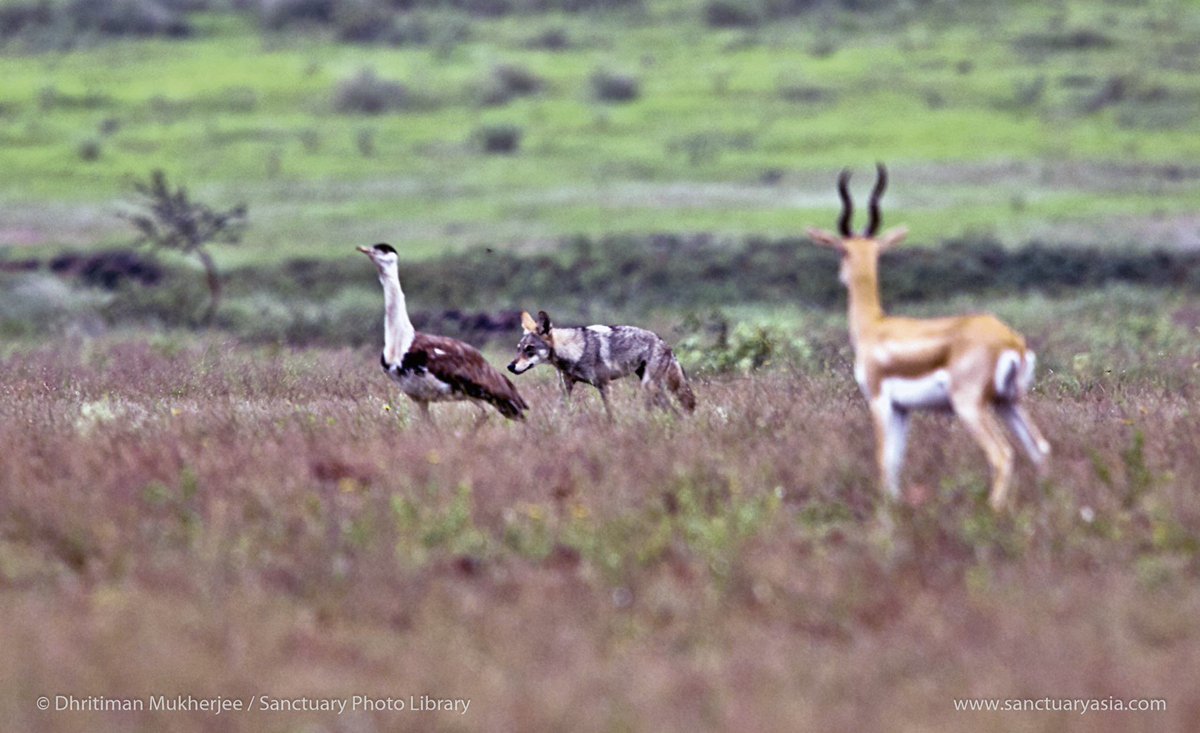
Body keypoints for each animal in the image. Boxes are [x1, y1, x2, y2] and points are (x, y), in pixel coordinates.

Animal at [507, 310, 696, 418]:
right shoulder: (565, 388)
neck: (575, 352)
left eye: (529, 349)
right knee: (674, 412)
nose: (510, 367)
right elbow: (559, 413)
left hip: (649, 388)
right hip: (654, 390)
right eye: (518, 349)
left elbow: (610, 415)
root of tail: (665, 343)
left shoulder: (604, 386)